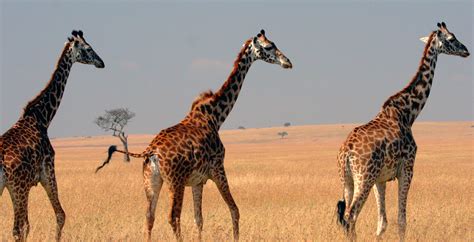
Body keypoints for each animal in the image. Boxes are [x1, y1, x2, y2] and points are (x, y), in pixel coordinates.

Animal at [0, 29, 104, 240]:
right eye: (88, 48)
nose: (101, 63)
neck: (43, 117)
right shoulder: (48, 169)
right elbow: (60, 215)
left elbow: (31, 224)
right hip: (18, 188)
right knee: (17, 228)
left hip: (11, 188)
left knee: (18, 227)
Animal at [94, 29, 290, 241]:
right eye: (269, 46)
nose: (287, 62)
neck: (215, 116)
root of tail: (150, 152)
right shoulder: (217, 168)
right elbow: (234, 210)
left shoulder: (198, 181)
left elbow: (199, 218)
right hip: (175, 181)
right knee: (173, 217)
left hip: (151, 181)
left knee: (149, 216)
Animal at [336, 22, 468, 240]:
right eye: (451, 38)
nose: (466, 51)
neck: (408, 113)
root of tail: (346, 152)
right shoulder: (407, 168)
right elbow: (401, 220)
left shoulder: (380, 178)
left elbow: (382, 222)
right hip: (363, 178)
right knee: (350, 215)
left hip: (347, 179)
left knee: (344, 216)